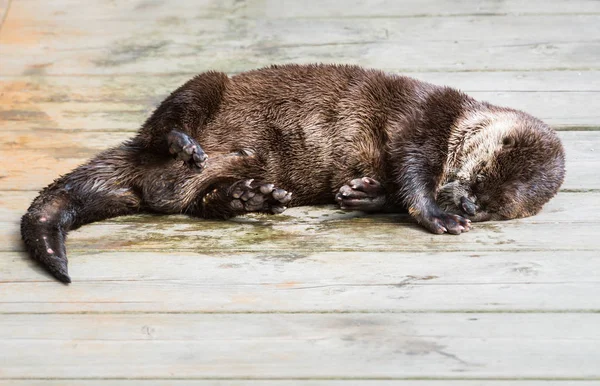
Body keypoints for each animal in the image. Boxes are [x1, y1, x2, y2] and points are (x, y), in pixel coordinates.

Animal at [21, 62, 564, 280]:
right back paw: (183, 142)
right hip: (206, 87)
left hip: (197, 185)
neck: (454, 123)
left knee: (197, 203)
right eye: (480, 176)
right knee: (170, 116)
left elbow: (391, 185)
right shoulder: (422, 121)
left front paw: (362, 194)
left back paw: (249, 197)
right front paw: (438, 214)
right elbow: (413, 172)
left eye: (492, 207)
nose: (467, 203)